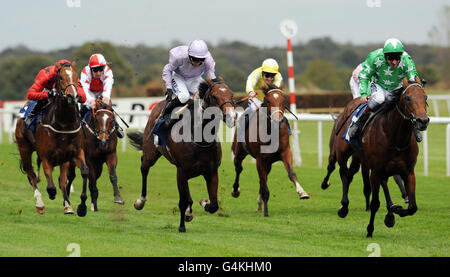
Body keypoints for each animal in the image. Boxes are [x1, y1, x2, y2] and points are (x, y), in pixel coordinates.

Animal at [14, 61, 88, 215]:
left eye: (77, 78)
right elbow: (50, 183)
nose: (72, 96)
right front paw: (51, 194)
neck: (63, 124)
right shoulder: (45, 155)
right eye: (60, 77)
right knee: (31, 175)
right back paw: (40, 203)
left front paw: (79, 206)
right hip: (24, 148)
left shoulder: (74, 153)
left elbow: (81, 173)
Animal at [127, 76, 236, 232]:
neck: (200, 139)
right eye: (214, 96)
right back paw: (140, 201)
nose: (232, 116)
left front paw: (203, 202)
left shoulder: (211, 171)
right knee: (144, 168)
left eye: (231, 95)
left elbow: (214, 205)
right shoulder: (182, 170)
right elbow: (183, 201)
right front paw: (182, 227)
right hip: (151, 153)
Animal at [232, 83, 310, 217]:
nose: (277, 120)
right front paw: (266, 212)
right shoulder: (260, 159)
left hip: (268, 163)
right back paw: (236, 191)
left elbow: (291, 173)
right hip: (240, 152)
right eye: (268, 101)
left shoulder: (285, 152)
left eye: (283, 100)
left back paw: (259, 204)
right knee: (239, 168)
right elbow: (264, 186)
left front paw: (302, 192)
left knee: (262, 179)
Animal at [330, 76, 428, 236]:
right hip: (344, 154)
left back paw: (390, 213)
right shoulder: (375, 172)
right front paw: (370, 230)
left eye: (425, 97)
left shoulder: (408, 172)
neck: (396, 138)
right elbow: (375, 203)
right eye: (408, 98)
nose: (423, 121)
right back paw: (344, 207)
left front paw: (395, 210)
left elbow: (412, 207)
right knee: (344, 174)